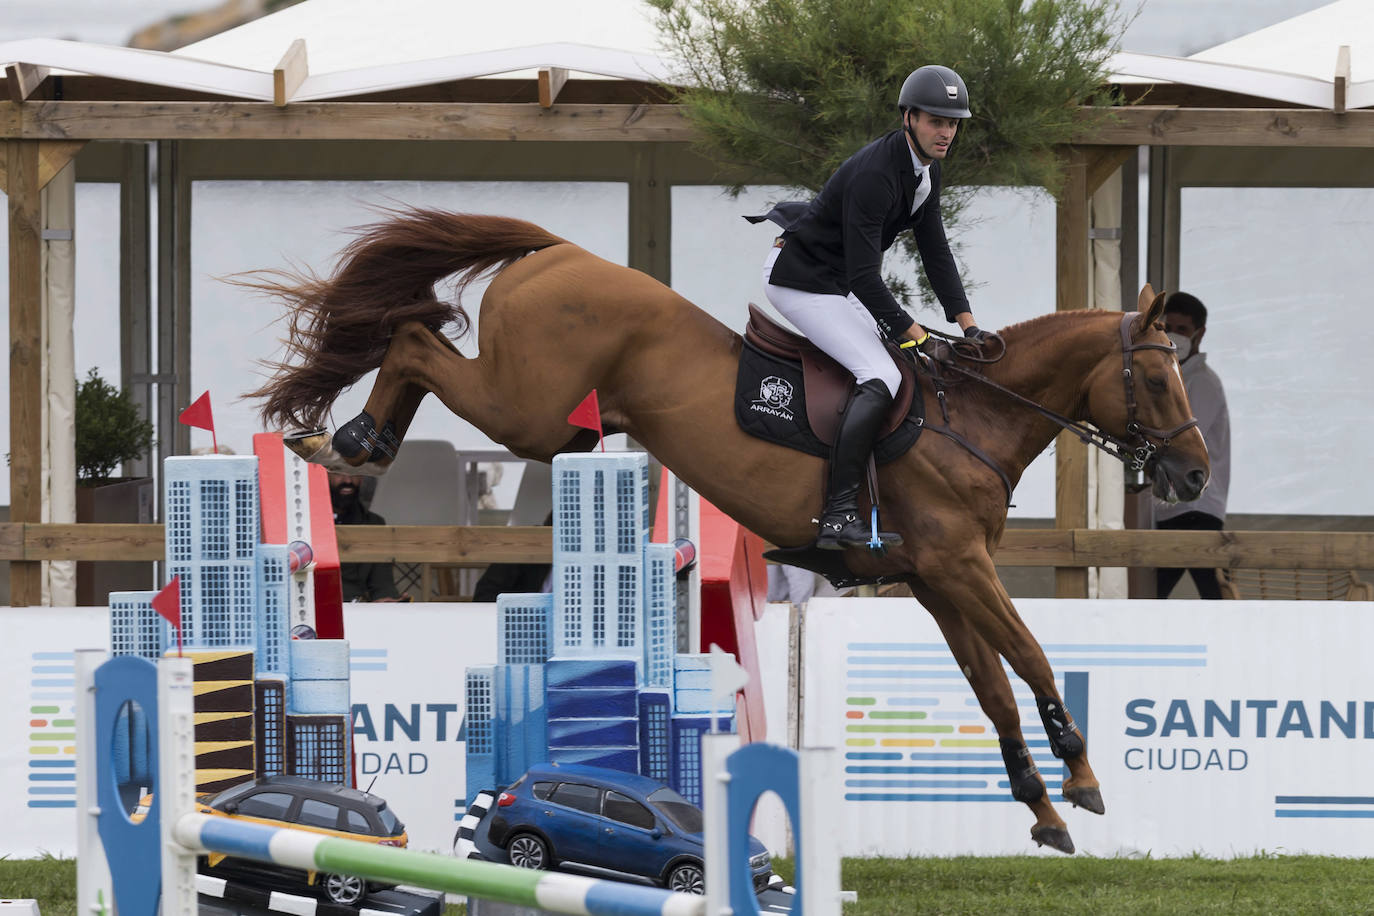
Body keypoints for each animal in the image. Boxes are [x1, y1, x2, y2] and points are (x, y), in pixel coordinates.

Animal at [247, 207, 1203, 851]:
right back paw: (346, 438)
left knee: (415, 338)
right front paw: (1082, 778)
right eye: (1160, 382)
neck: (973, 416)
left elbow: (996, 686)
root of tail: (555, 251)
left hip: (546, 422)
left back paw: (353, 438)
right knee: (414, 338)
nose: (1193, 475)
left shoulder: (938, 581)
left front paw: (1043, 809)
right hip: (532, 413)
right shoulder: (962, 566)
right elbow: (1034, 657)